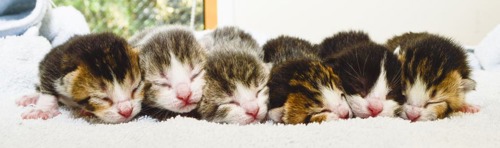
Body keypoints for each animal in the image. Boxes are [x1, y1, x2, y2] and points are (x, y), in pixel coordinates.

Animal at [16, 32, 145, 123]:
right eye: (102, 98)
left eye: (136, 88)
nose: (127, 111)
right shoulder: (52, 63)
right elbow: (47, 86)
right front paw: (43, 110)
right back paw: (31, 97)